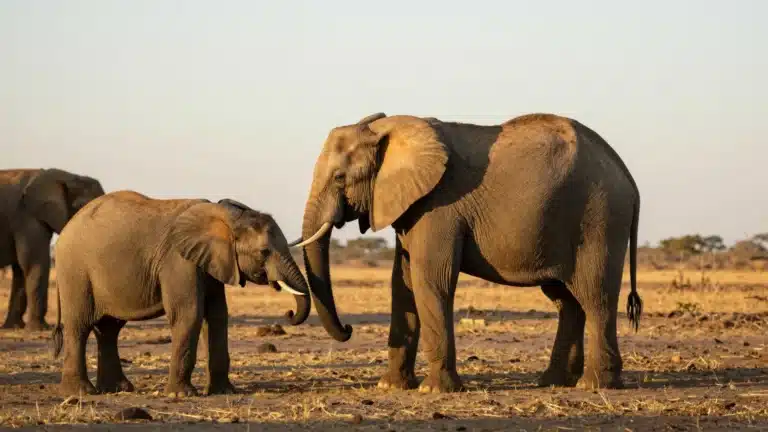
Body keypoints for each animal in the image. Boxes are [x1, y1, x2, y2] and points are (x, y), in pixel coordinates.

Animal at [0, 168, 105, 330]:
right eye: (80, 206)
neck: (65, 175)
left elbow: (21, 269)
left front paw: (15, 327)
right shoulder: (28, 217)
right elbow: (35, 264)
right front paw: (40, 328)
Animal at [51, 190, 312, 397]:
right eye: (264, 252)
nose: (289, 313)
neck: (225, 216)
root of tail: (66, 229)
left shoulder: (211, 262)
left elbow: (217, 316)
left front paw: (224, 392)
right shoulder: (179, 261)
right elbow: (190, 314)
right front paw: (181, 395)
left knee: (108, 329)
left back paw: (117, 389)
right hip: (75, 271)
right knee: (79, 325)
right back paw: (81, 392)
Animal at [291, 112, 642, 392]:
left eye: (340, 177)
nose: (349, 329)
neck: (391, 129)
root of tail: (627, 175)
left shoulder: (438, 207)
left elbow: (430, 281)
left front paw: (432, 391)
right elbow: (402, 284)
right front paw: (390, 387)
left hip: (599, 219)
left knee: (595, 296)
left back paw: (594, 385)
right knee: (566, 300)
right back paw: (554, 382)